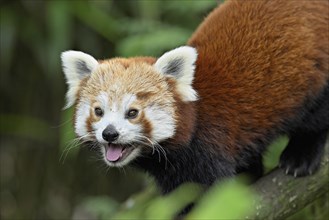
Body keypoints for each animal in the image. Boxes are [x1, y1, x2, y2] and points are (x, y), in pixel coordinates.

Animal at [60, 0, 328, 192]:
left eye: (133, 113)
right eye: (98, 111)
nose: (110, 133)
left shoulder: (209, 146)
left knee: (315, 118)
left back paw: (301, 155)